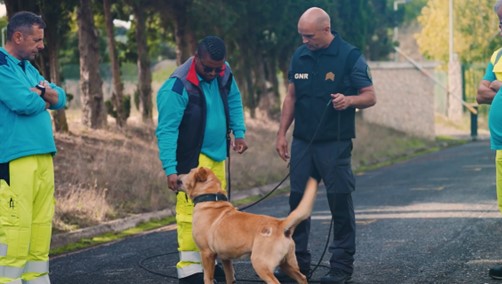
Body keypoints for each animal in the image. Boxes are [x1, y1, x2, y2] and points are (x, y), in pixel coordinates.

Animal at [179, 168, 318, 282]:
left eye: (189, 171)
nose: (178, 175)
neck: (211, 199)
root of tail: (280, 224)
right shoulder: (226, 259)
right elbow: (230, 278)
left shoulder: (206, 253)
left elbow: (207, 278)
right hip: (288, 265)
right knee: (303, 277)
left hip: (261, 264)